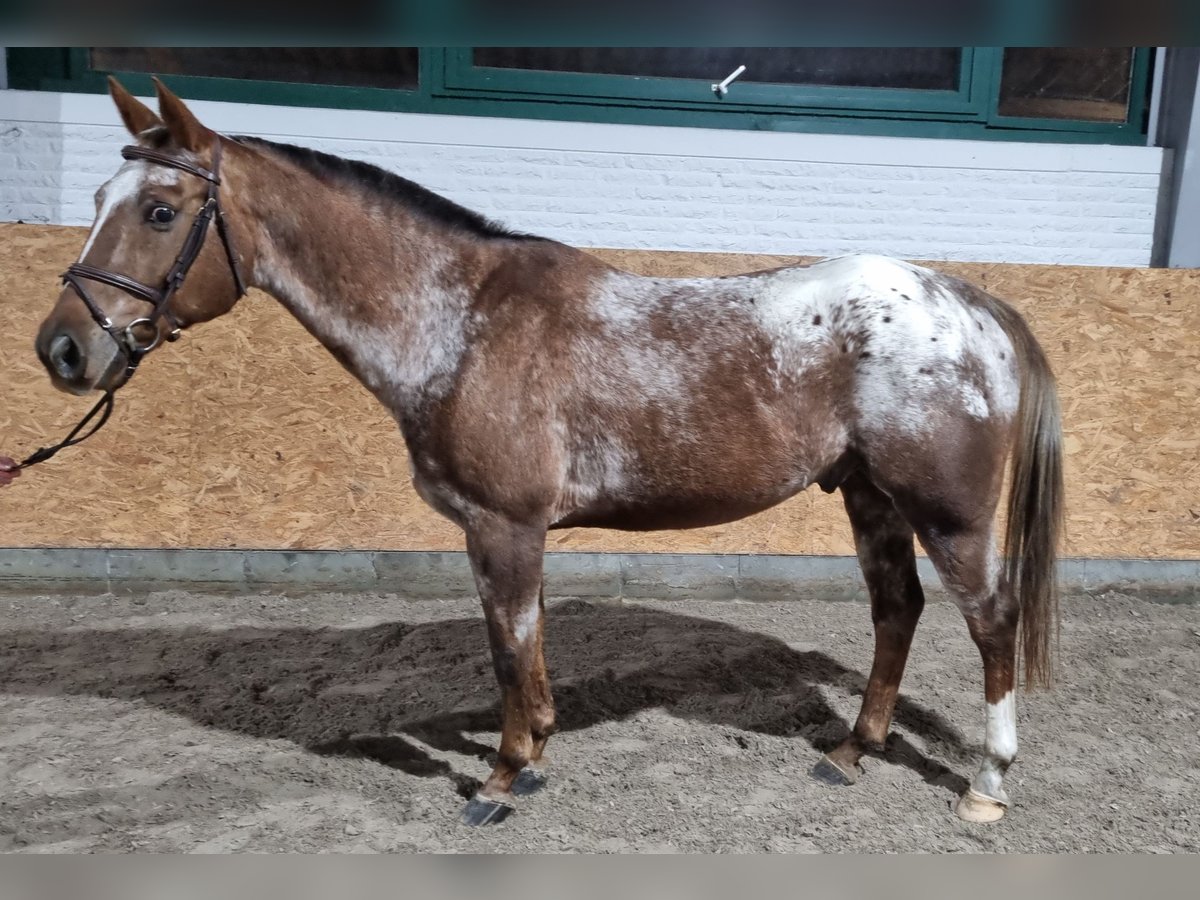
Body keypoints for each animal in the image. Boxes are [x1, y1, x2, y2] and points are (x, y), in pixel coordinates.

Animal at [9, 81, 1065, 830]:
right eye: (98, 196)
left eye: (158, 211)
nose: (63, 350)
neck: (463, 322)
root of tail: (968, 300)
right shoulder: (517, 533)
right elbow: (530, 645)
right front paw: (538, 752)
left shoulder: (502, 526)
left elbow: (508, 650)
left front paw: (504, 777)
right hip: (869, 496)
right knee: (897, 610)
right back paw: (851, 753)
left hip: (947, 514)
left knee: (991, 622)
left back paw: (987, 786)